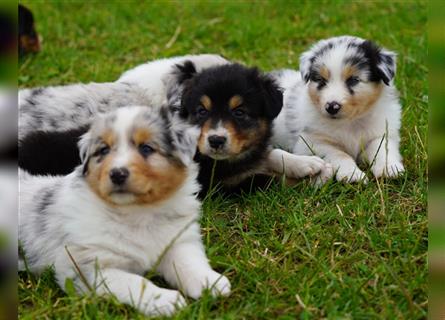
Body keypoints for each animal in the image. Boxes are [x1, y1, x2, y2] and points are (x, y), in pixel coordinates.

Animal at [19, 106, 231, 316]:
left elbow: (188, 262)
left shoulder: (178, 240)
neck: (138, 211)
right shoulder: (88, 266)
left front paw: (210, 282)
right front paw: (166, 300)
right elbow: (136, 282)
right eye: (103, 150)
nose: (117, 174)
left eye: (146, 148)